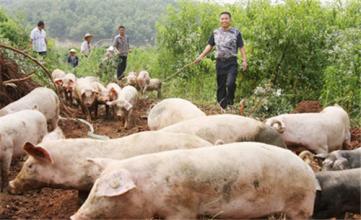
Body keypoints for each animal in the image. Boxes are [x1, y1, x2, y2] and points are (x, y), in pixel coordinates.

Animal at [70, 142, 316, 219]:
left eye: (102, 194)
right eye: (93, 188)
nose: (73, 216)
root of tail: (308, 169)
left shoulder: (181, 208)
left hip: (301, 206)